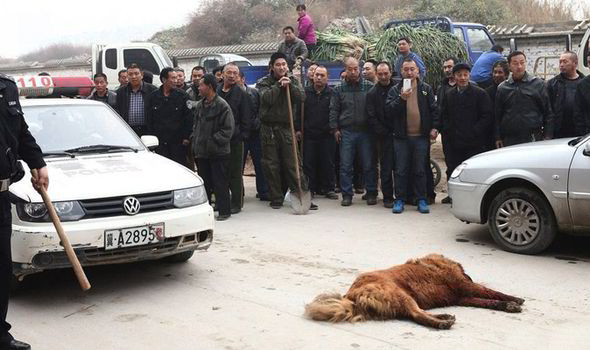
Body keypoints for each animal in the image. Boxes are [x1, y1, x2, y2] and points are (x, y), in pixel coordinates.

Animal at [308, 253, 524, 330]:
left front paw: (508, 304)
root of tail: (351, 296)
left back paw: (444, 317)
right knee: (416, 314)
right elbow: (492, 291)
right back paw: (443, 323)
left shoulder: (462, 296)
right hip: (401, 294)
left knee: (415, 313)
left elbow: (488, 299)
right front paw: (514, 300)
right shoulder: (466, 287)